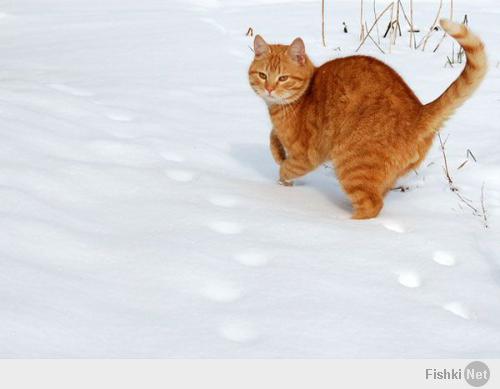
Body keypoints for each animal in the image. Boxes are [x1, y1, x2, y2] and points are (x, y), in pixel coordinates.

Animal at [248, 19, 486, 218]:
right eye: (262, 75)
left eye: (283, 78)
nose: (269, 89)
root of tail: (419, 111)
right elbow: (273, 138)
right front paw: (277, 152)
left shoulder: (308, 155)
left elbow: (287, 168)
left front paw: (283, 180)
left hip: (351, 164)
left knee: (372, 205)